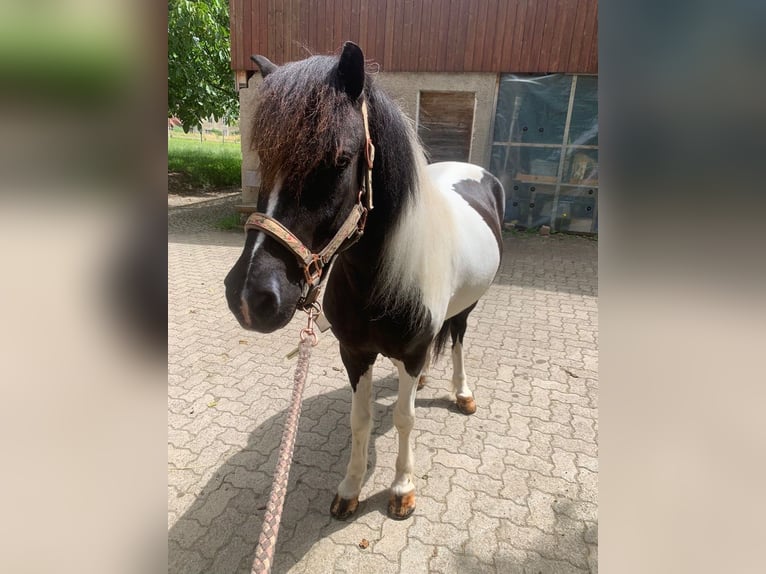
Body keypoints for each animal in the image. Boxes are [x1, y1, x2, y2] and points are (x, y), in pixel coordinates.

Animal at [224, 42, 505, 520]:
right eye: (263, 158)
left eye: (339, 159)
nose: (250, 297)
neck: (379, 276)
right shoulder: (354, 352)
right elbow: (361, 419)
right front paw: (351, 487)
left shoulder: (411, 352)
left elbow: (404, 419)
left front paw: (402, 488)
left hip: (466, 309)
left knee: (458, 338)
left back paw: (461, 392)